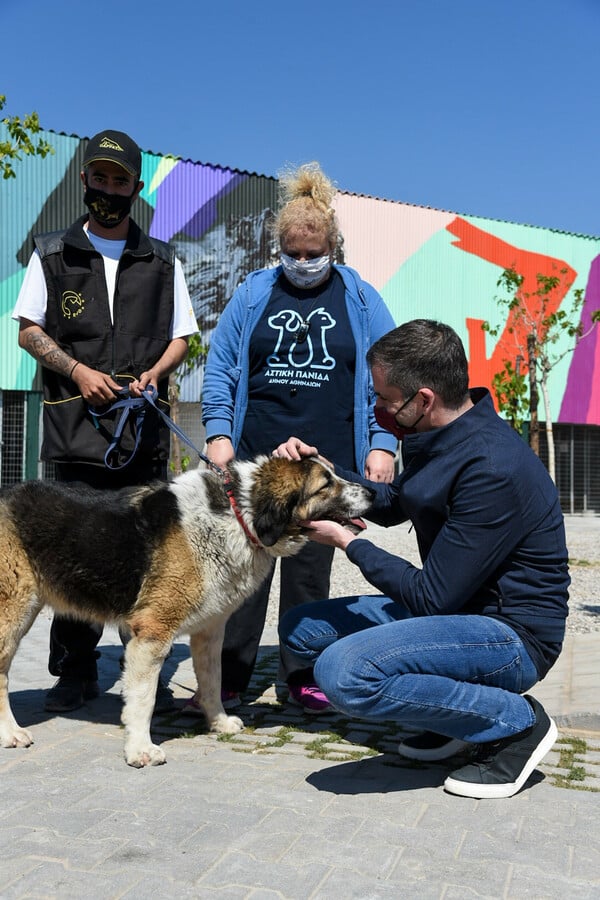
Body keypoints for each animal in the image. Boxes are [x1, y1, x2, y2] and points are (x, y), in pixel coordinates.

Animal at [0, 458, 372, 768]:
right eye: (325, 484)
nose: (371, 491)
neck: (239, 517)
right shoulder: (152, 631)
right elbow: (143, 698)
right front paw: (140, 749)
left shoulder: (210, 631)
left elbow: (212, 681)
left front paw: (218, 723)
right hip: (13, 615)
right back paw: (11, 733)